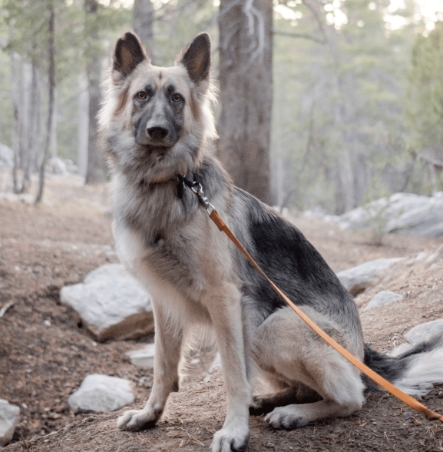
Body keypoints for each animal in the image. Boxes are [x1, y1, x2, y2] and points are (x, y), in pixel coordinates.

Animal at [99, 32, 443, 452]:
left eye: (177, 98)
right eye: (142, 96)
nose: (158, 131)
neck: (168, 184)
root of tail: (363, 353)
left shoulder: (226, 299)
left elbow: (232, 374)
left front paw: (234, 430)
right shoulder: (164, 302)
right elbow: (164, 367)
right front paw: (150, 415)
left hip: (272, 327)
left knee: (351, 397)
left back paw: (295, 413)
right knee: (304, 388)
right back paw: (271, 401)